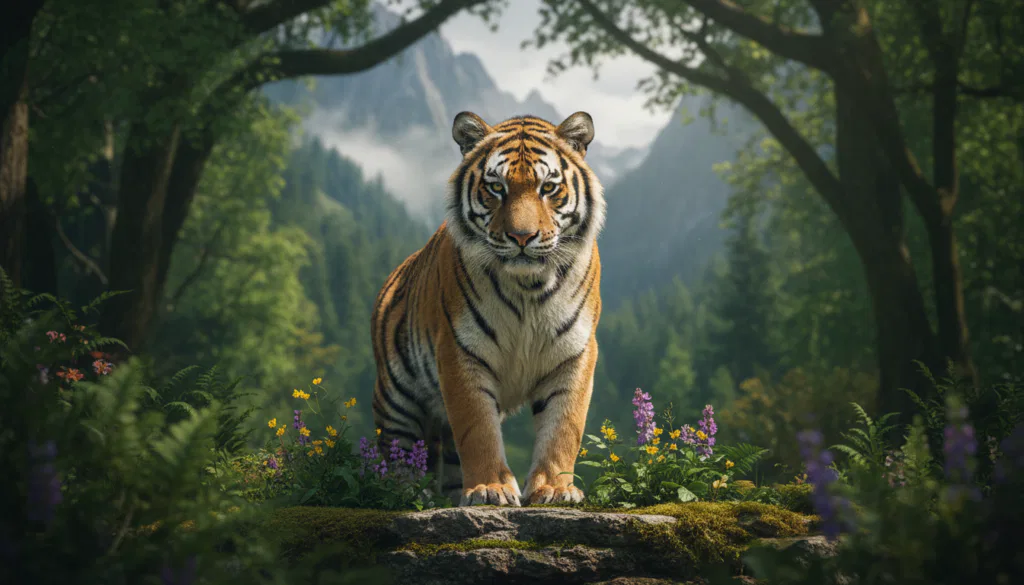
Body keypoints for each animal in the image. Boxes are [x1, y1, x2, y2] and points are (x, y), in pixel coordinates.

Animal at [370, 110, 606, 506]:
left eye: (548, 188)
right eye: (497, 188)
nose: (522, 237)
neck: (529, 287)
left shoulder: (574, 352)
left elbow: (563, 427)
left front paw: (555, 489)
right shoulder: (460, 350)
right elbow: (478, 428)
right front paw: (490, 489)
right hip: (396, 400)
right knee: (397, 453)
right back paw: (406, 494)